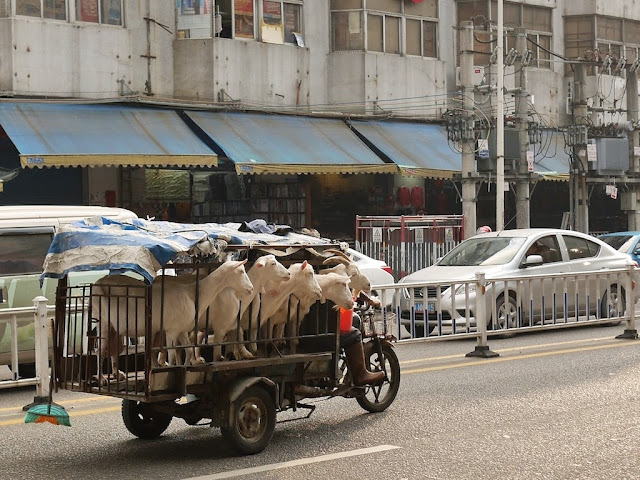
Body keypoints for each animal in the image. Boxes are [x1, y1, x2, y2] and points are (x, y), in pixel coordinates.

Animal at [92, 260, 252, 380]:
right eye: (241, 271)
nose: (251, 289)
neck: (193, 293)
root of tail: (97, 284)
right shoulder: (171, 330)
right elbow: (173, 353)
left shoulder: (181, 329)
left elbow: (187, 350)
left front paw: (186, 368)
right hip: (103, 320)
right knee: (100, 349)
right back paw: (101, 378)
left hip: (113, 325)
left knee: (113, 349)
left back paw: (117, 374)